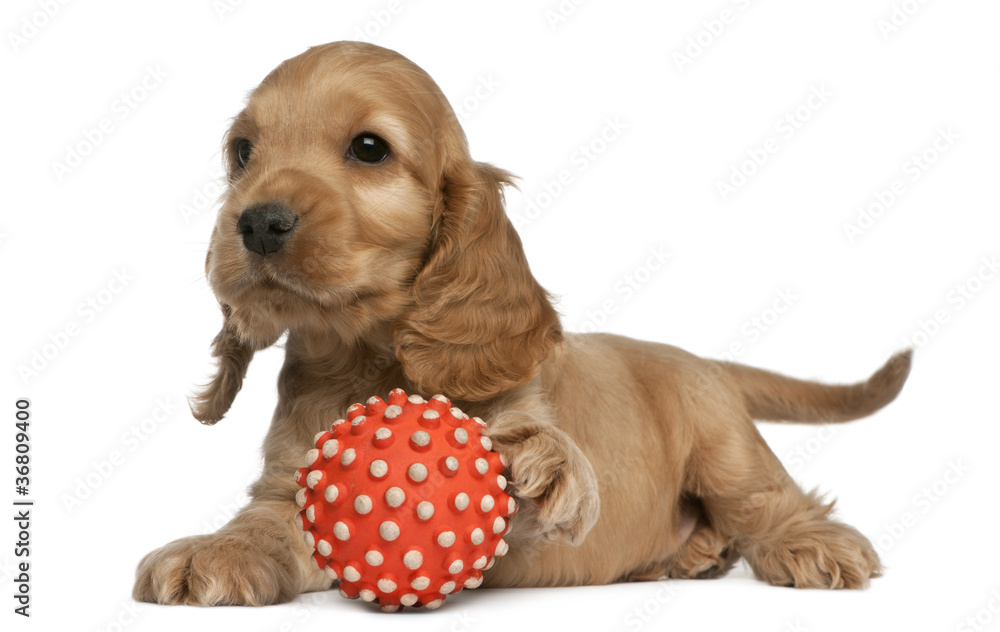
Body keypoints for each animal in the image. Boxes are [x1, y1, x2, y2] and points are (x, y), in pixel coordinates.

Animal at [135, 40, 916, 608]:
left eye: (369, 148)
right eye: (242, 152)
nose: (257, 223)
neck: (367, 355)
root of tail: (702, 359)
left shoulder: (544, 538)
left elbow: (549, 487)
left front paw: (546, 464)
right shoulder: (287, 482)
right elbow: (266, 523)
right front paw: (219, 550)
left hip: (723, 443)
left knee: (767, 499)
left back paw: (809, 544)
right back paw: (691, 555)